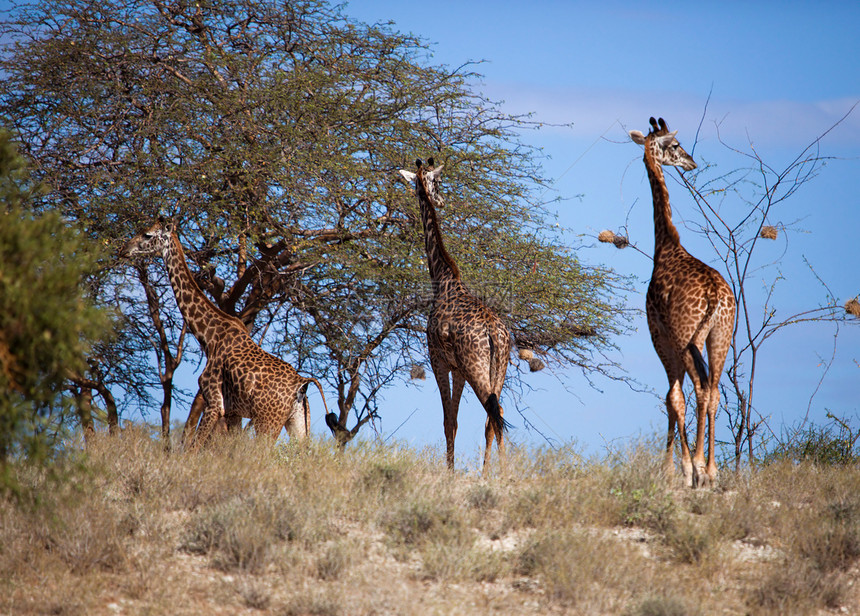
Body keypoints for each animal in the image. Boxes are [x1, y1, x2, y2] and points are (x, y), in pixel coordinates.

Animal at [122, 217, 330, 448]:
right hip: (298, 421)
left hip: (268, 421)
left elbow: (193, 448)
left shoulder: (214, 404)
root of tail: (301, 383)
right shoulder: (233, 412)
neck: (208, 337)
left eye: (147, 234)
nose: (124, 250)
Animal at [402, 158, 512, 472]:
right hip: (499, 368)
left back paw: (499, 474)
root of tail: (494, 333)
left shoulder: (438, 360)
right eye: (437, 182)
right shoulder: (458, 369)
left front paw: (449, 473)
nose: (440, 199)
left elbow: (448, 421)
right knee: (495, 414)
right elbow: (456, 420)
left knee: (494, 411)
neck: (442, 278)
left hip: (477, 368)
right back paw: (492, 473)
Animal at [628, 118, 736, 488]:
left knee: (699, 390)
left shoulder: (659, 333)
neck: (665, 245)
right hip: (720, 337)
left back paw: (700, 468)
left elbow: (672, 397)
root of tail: (716, 296)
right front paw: (684, 468)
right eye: (675, 146)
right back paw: (713, 470)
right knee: (714, 390)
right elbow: (676, 397)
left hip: (688, 337)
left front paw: (676, 469)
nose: (691, 162)